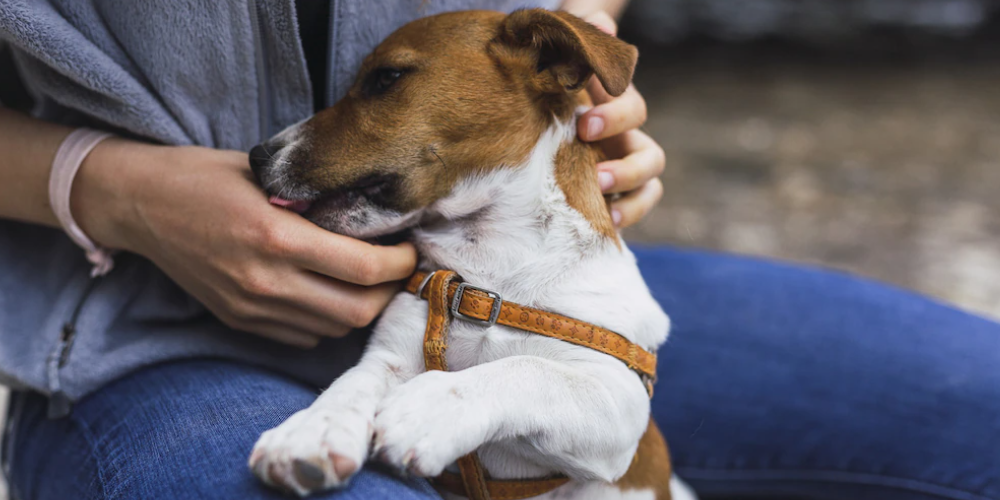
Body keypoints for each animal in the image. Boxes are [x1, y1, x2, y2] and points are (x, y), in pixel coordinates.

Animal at [248, 7, 696, 500]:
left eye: (386, 78)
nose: (255, 155)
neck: (493, 262)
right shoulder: (392, 354)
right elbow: (352, 383)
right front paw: (312, 430)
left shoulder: (617, 400)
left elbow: (526, 369)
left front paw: (427, 409)